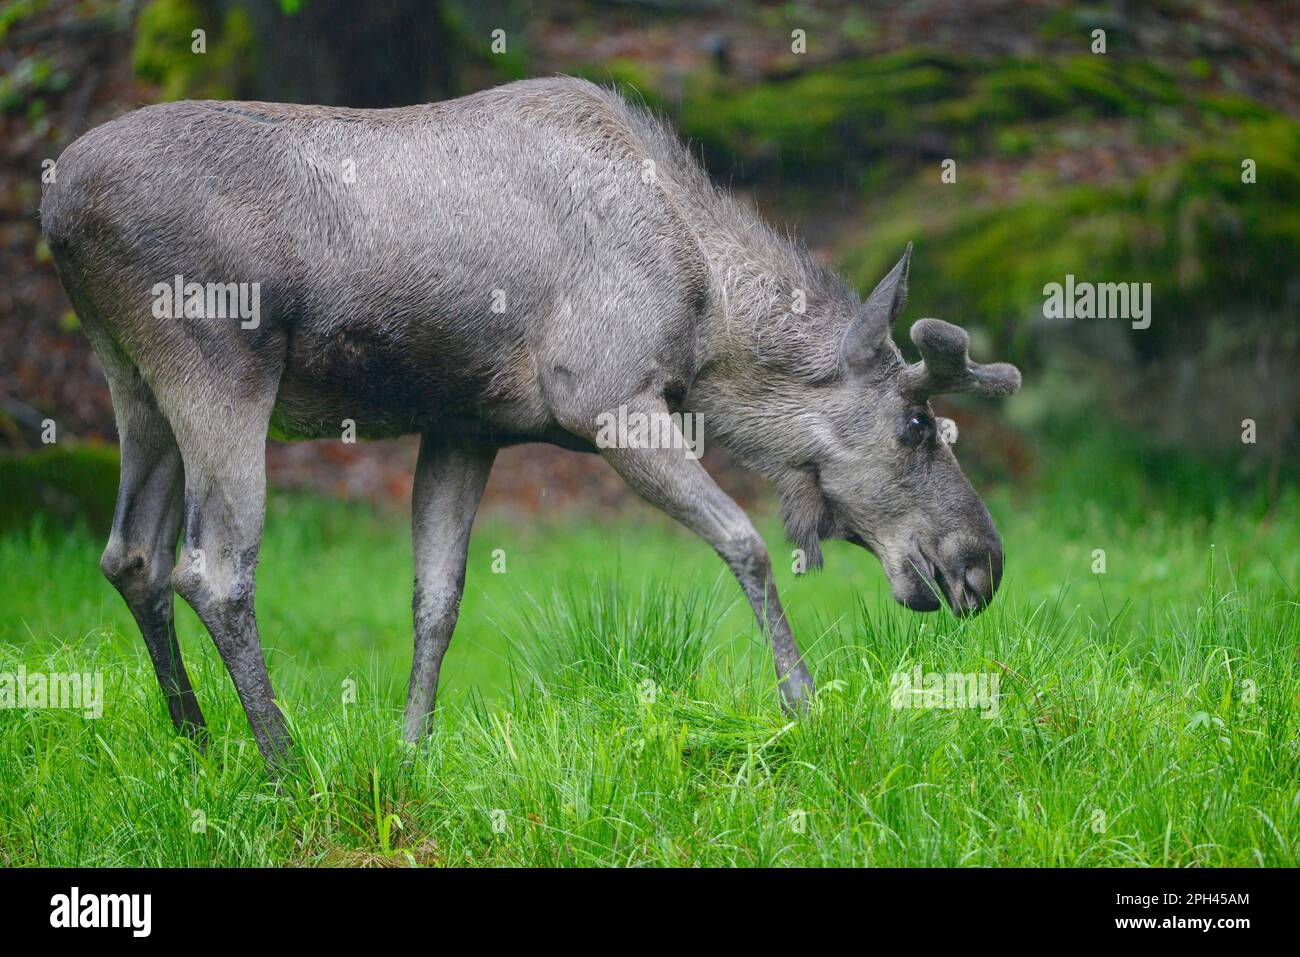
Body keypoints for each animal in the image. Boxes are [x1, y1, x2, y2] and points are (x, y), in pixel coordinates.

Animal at [40, 76, 1019, 769]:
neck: (708, 308)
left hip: (135, 383)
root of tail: (55, 208)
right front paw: (802, 702)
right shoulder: (608, 398)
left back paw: (198, 745)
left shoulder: (465, 427)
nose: (983, 562)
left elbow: (437, 599)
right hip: (221, 366)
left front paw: (412, 751)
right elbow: (744, 541)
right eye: (918, 424)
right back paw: (283, 763)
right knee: (213, 568)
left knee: (132, 555)